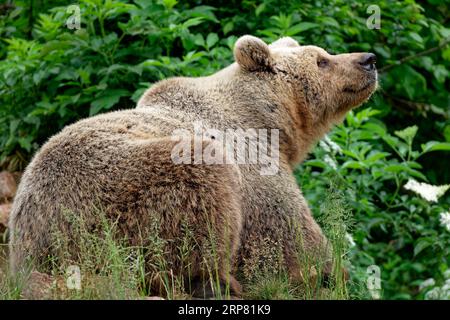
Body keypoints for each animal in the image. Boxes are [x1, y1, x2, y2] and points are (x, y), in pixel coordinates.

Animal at [8, 34, 378, 298]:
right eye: (322, 60)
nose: (369, 60)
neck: (270, 121)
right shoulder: (252, 164)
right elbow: (286, 230)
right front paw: (329, 272)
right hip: (114, 196)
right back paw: (220, 282)